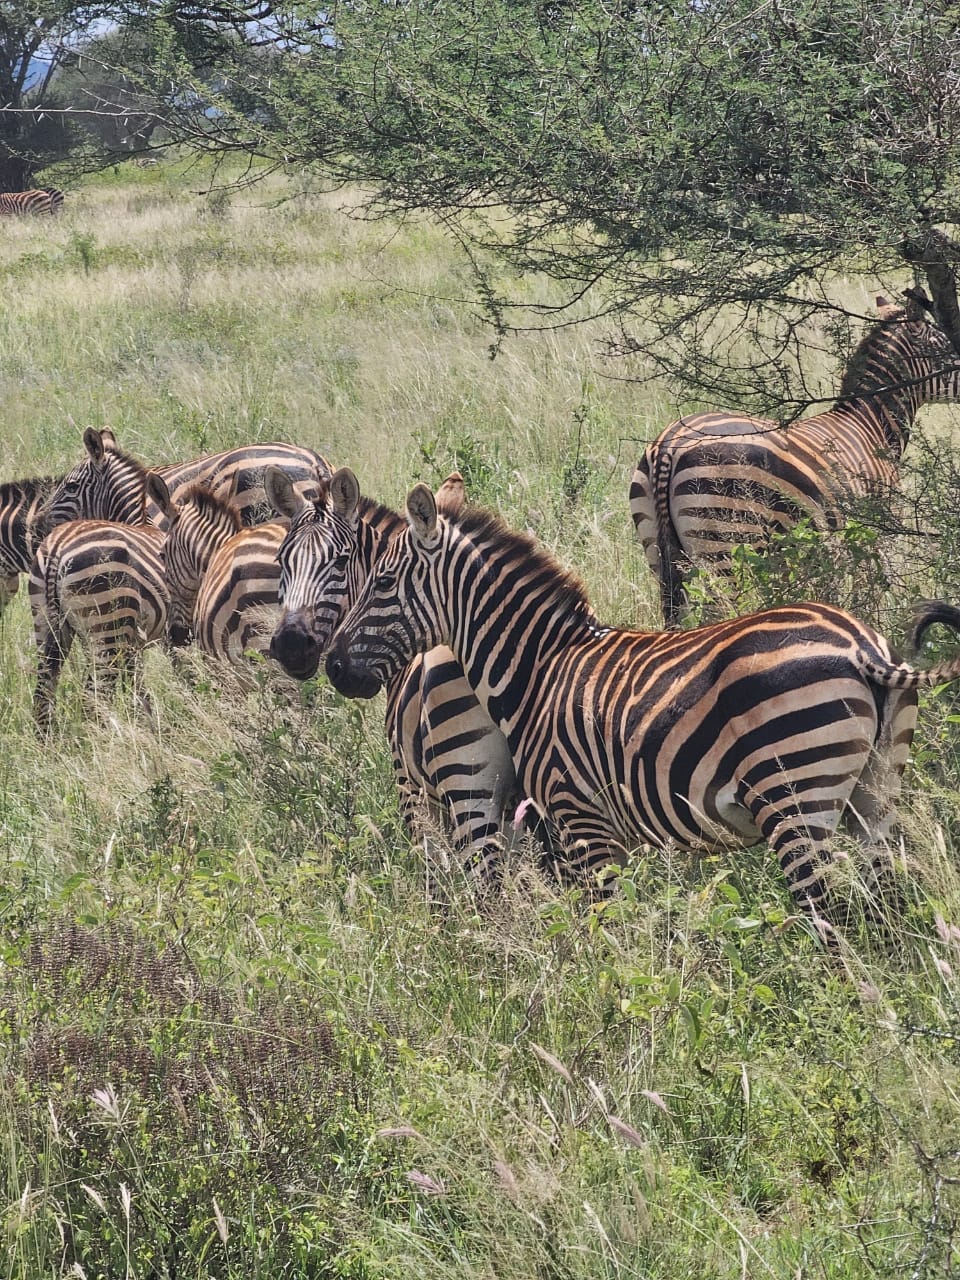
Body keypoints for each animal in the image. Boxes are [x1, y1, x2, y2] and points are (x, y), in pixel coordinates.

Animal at [29, 520, 168, 733]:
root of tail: (57, 546)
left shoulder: (132, 644)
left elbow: (136, 689)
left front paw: (146, 729)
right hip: (108, 626)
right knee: (94, 698)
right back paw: (102, 740)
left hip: (44, 621)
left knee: (43, 695)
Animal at [325, 484, 960, 942]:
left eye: (382, 582)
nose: (331, 668)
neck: (537, 668)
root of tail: (863, 648)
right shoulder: (604, 836)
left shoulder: (581, 822)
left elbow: (605, 943)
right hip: (875, 797)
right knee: (883, 915)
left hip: (796, 803)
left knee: (833, 928)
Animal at [630, 289, 960, 626]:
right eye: (948, 346)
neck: (872, 425)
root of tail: (670, 444)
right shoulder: (879, 529)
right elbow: (874, 590)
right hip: (725, 542)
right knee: (723, 611)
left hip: (659, 550)